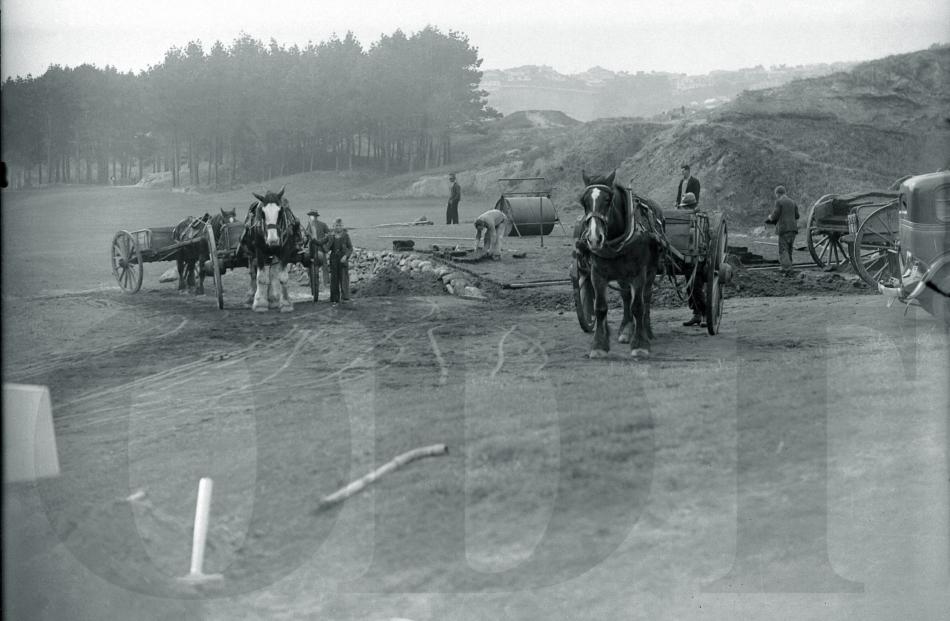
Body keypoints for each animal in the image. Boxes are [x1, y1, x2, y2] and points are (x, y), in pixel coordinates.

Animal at [576, 171, 664, 358]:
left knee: (646, 297)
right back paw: (626, 329)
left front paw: (640, 344)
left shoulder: (639, 274)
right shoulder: (597, 274)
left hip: (651, 271)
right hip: (622, 275)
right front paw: (599, 345)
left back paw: (647, 330)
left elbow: (638, 306)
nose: (594, 239)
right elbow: (600, 308)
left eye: (608, 199)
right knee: (625, 296)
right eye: (583, 201)